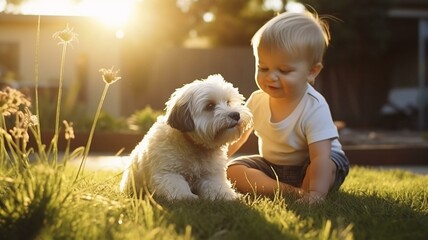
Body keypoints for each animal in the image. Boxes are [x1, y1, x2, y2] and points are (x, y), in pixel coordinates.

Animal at [118, 73, 252, 201]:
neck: (196, 146)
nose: (235, 115)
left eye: (228, 102)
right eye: (210, 106)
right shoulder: (168, 173)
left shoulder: (211, 175)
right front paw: (187, 197)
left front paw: (228, 195)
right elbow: (177, 186)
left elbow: (216, 186)